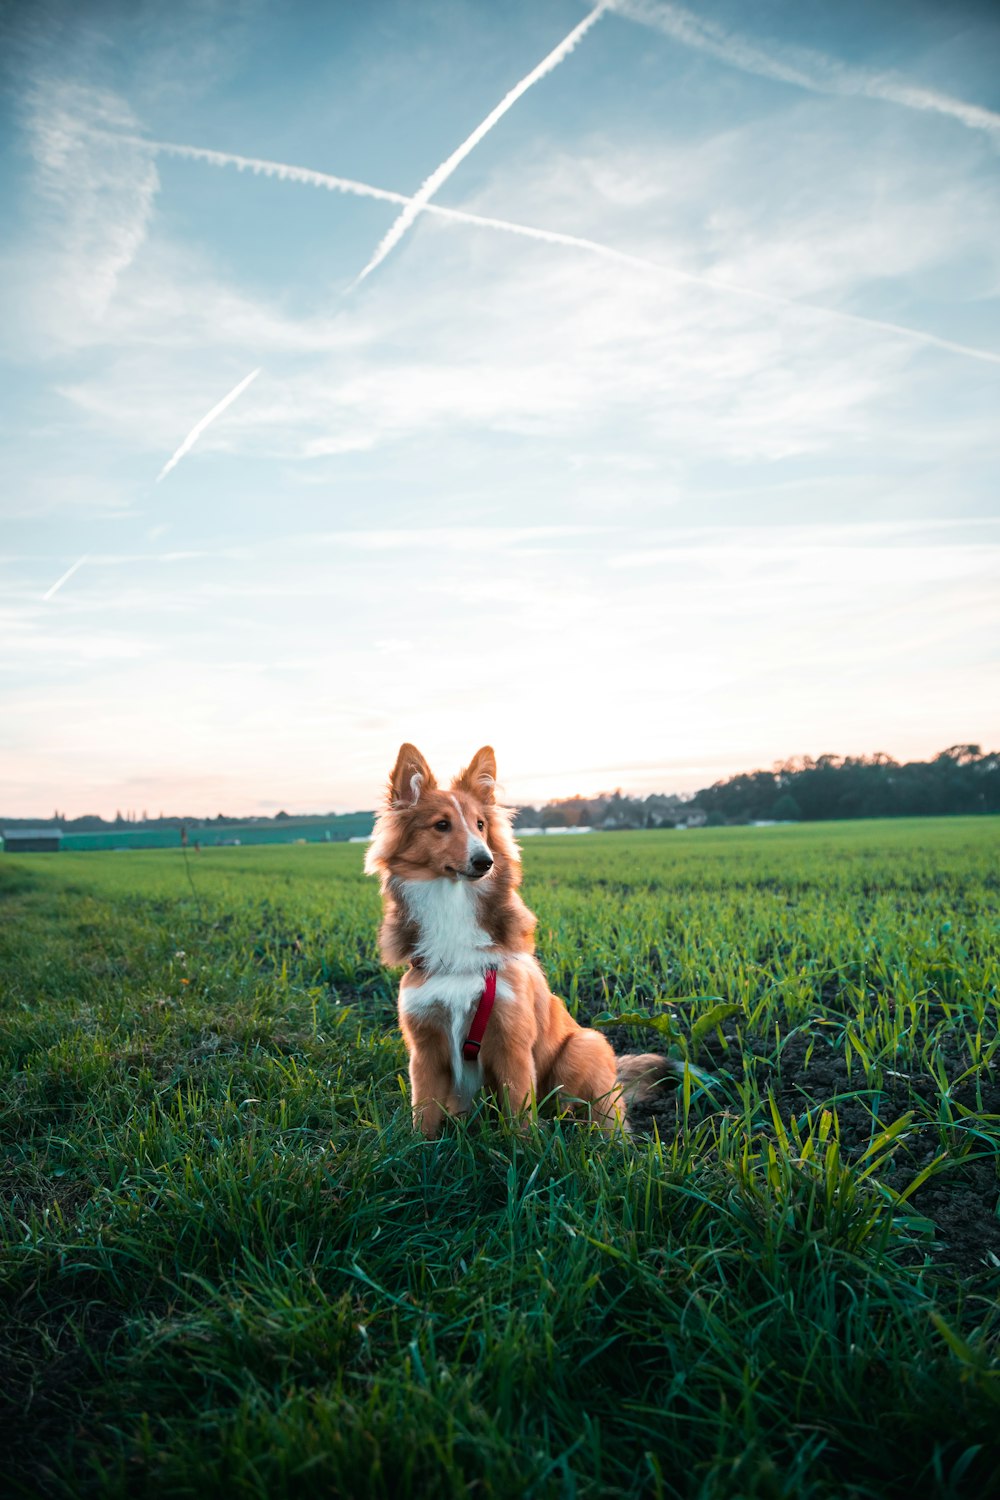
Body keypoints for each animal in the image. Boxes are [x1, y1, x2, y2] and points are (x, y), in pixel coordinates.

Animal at [364, 744, 677, 1140]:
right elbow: (424, 1114)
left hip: (585, 1045)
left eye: (480, 825)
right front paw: (418, 1149)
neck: (452, 906)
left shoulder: (511, 1042)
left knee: (602, 1115)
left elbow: (519, 1115)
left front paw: (525, 1149)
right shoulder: (425, 1050)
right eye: (441, 825)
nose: (485, 861)